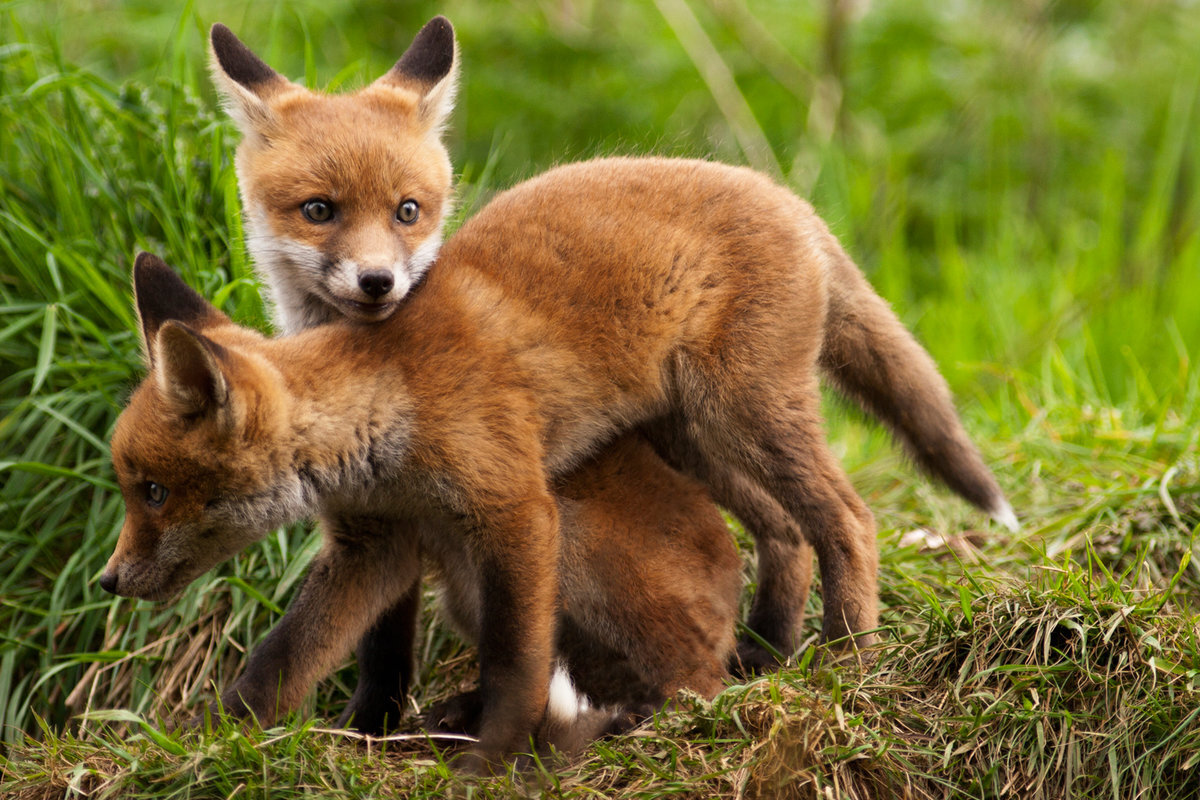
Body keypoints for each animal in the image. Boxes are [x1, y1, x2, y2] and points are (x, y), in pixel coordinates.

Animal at [105, 153, 1012, 767]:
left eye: (152, 491)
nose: (110, 581)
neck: (390, 403)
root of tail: (784, 193)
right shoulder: (379, 544)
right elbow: (284, 660)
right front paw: (212, 739)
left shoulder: (518, 513)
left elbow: (519, 657)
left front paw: (492, 756)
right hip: (691, 434)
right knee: (783, 532)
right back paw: (764, 653)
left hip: (743, 415)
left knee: (846, 524)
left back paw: (843, 665)